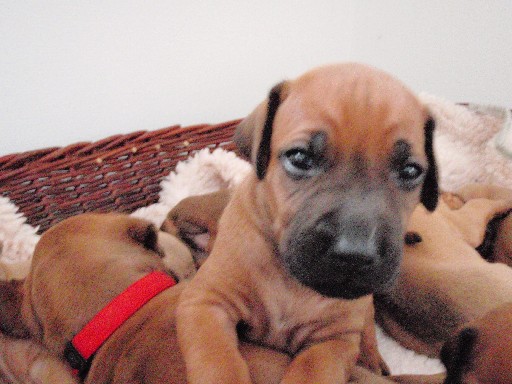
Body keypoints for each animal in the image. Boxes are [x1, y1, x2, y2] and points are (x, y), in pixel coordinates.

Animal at [177, 63, 440, 384]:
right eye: (300, 157)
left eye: (410, 171)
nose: (354, 255)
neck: (291, 280)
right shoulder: (206, 302)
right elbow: (219, 363)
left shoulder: (333, 340)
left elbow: (314, 368)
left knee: (367, 320)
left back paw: (371, 356)